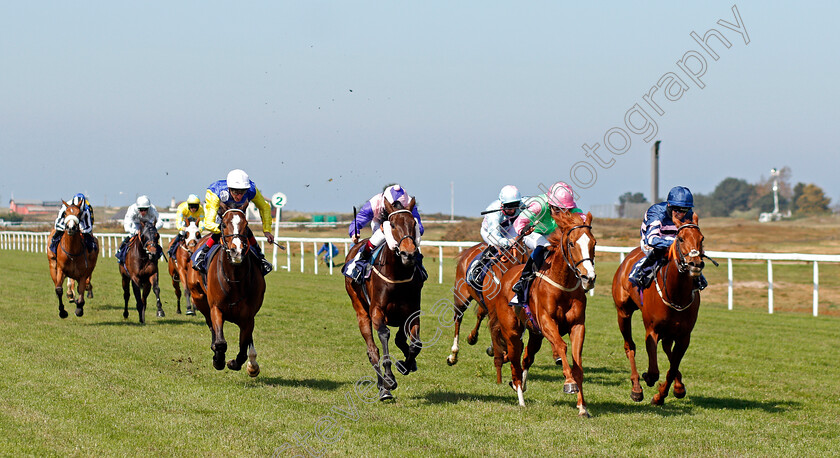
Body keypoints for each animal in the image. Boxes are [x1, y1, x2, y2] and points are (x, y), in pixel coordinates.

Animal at [187, 202, 266, 378]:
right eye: (223, 224)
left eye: (247, 225)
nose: (237, 251)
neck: (235, 279)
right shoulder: (216, 308)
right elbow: (220, 342)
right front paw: (219, 360)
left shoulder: (249, 317)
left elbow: (244, 348)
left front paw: (240, 363)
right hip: (199, 298)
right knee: (210, 326)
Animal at [344, 197, 424, 400]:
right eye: (393, 225)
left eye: (413, 224)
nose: (408, 254)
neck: (397, 276)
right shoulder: (377, 312)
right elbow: (384, 335)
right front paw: (389, 379)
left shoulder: (413, 312)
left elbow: (414, 344)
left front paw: (405, 364)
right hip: (360, 311)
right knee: (373, 351)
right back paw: (383, 389)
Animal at [482, 209, 592, 416]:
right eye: (572, 243)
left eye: (594, 243)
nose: (588, 277)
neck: (562, 284)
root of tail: (507, 275)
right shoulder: (546, 321)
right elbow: (562, 346)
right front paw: (569, 383)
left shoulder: (577, 325)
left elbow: (578, 362)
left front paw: (582, 407)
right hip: (512, 332)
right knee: (515, 362)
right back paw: (520, 397)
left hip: (535, 334)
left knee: (527, 358)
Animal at [612, 212, 708, 404]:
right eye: (680, 238)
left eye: (701, 239)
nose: (695, 264)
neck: (676, 294)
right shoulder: (652, 330)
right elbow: (654, 371)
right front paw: (649, 380)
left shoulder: (684, 336)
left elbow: (672, 368)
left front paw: (661, 395)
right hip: (623, 313)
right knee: (629, 346)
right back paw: (636, 388)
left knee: (667, 349)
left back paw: (678, 386)